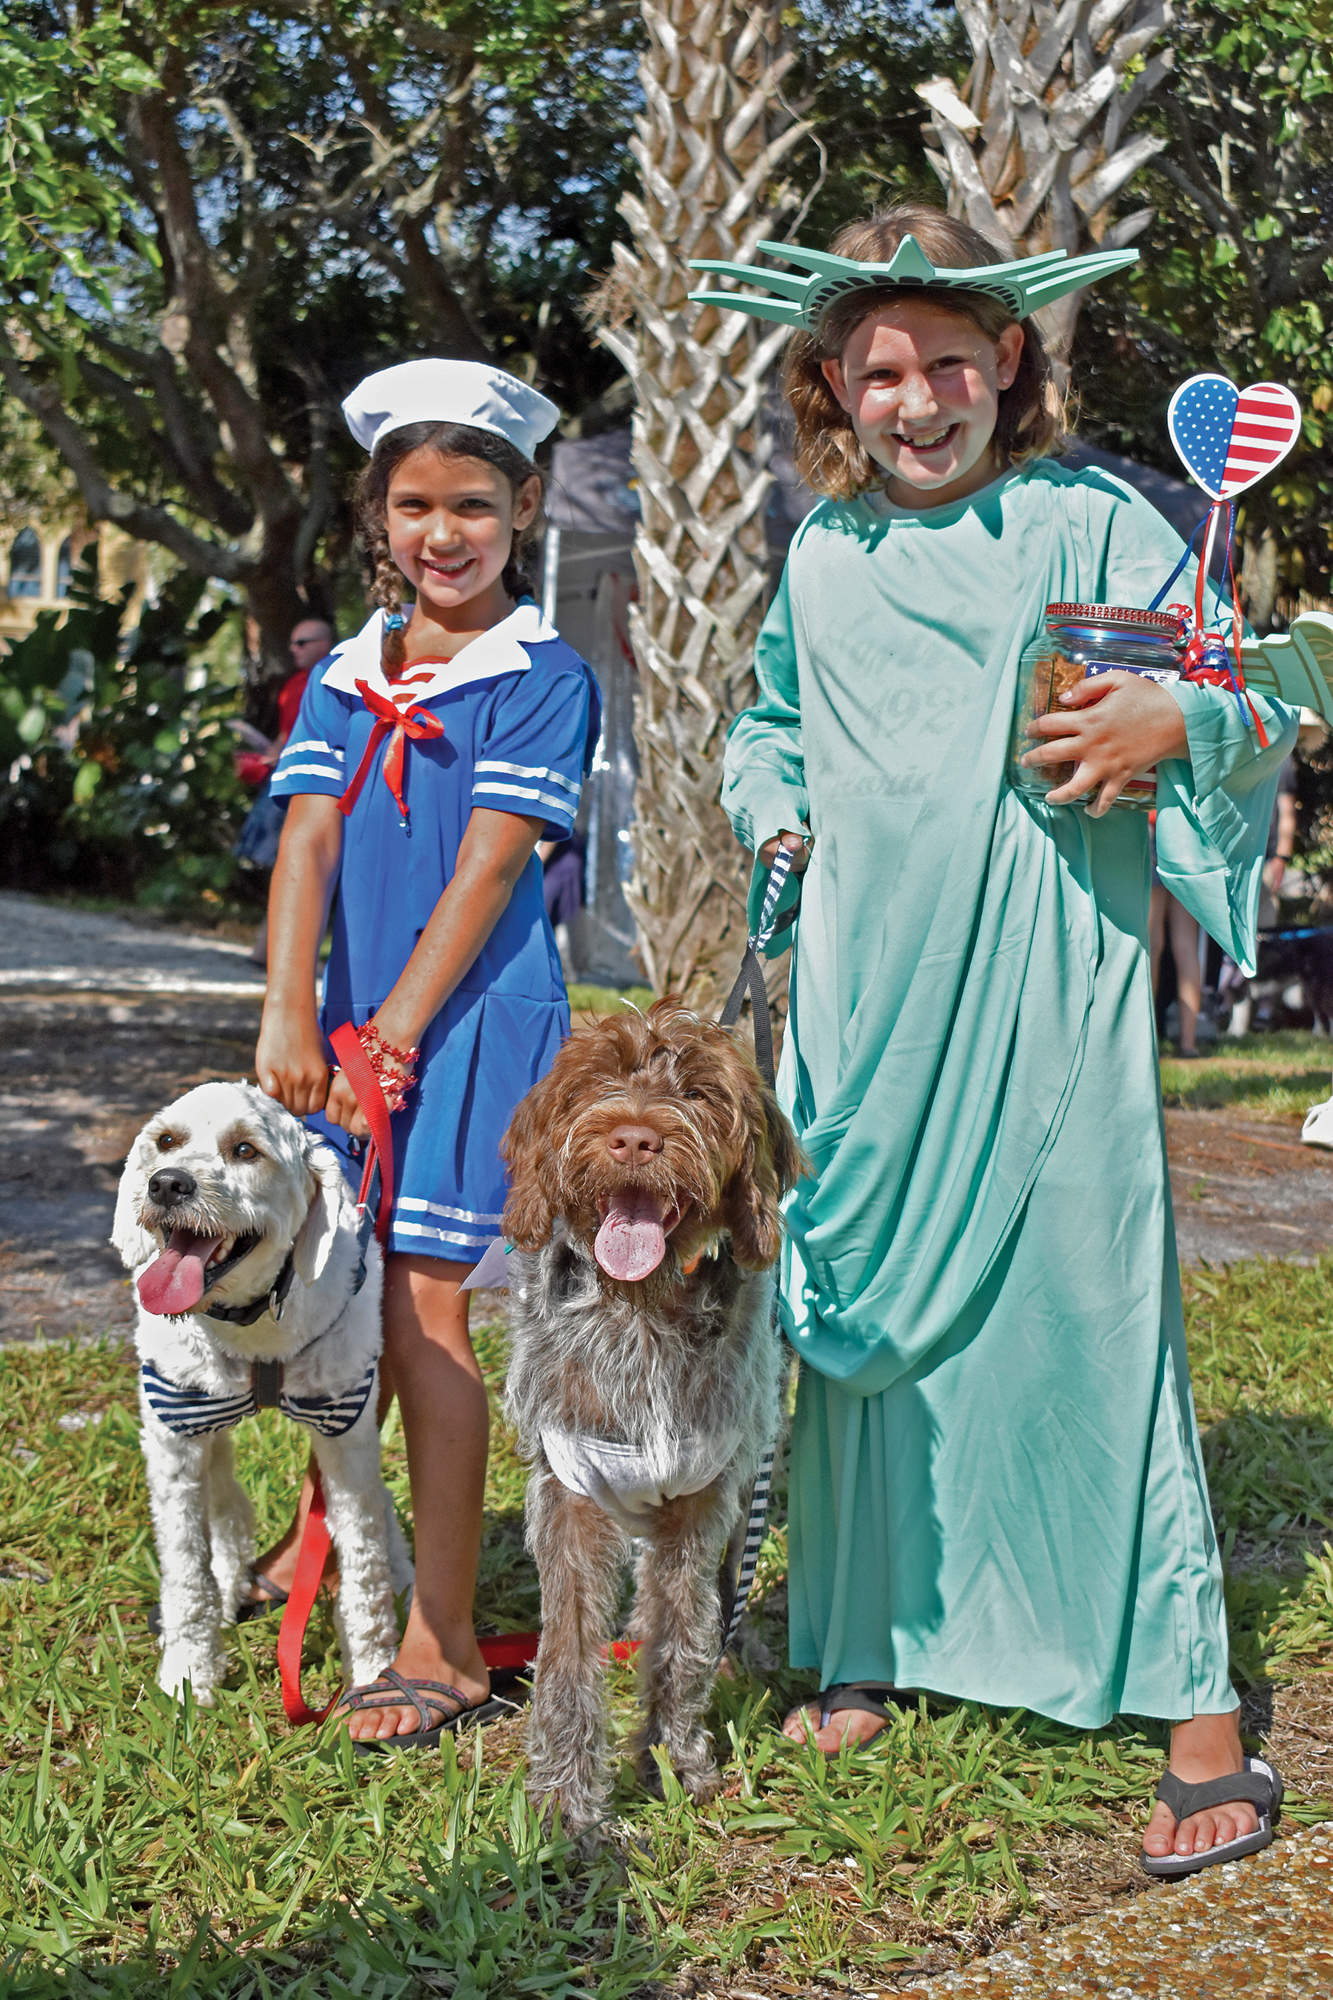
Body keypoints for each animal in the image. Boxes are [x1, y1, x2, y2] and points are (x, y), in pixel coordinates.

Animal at [116, 1080, 412, 1704]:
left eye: (246, 1151)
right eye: (166, 1141)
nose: (167, 1183)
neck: (250, 1325)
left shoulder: (345, 1432)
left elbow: (364, 1557)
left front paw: (373, 1673)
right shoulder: (175, 1434)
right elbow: (186, 1565)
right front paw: (188, 1675)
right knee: (225, 1505)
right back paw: (229, 1585)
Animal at [498, 1000, 804, 1840]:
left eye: (699, 1093)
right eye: (598, 1081)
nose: (634, 1138)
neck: (639, 1311)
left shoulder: (700, 1501)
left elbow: (684, 1635)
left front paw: (674, 1762)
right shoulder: (568, 1496)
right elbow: (569, 1652)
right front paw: (565, 1803)